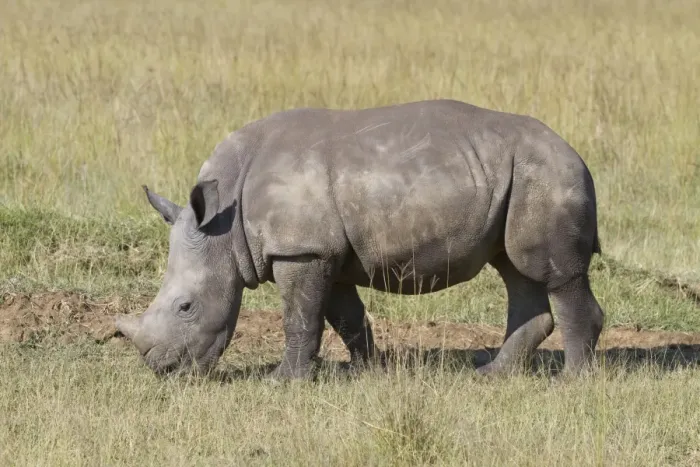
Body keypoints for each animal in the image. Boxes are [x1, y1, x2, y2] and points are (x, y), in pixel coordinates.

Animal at [115, 99, 605, 380]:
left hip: (546, 175)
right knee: (515, 269)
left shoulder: (301, 250)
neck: (225, 223)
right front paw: (370, 371)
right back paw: (491, 374)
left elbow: (299, 318)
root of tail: (577, 154)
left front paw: (282, 381)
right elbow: (345, 317)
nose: (162, 369)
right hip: (517, 177)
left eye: (186, 307)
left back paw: (571, 381)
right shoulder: (324, 253)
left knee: (552, 272)